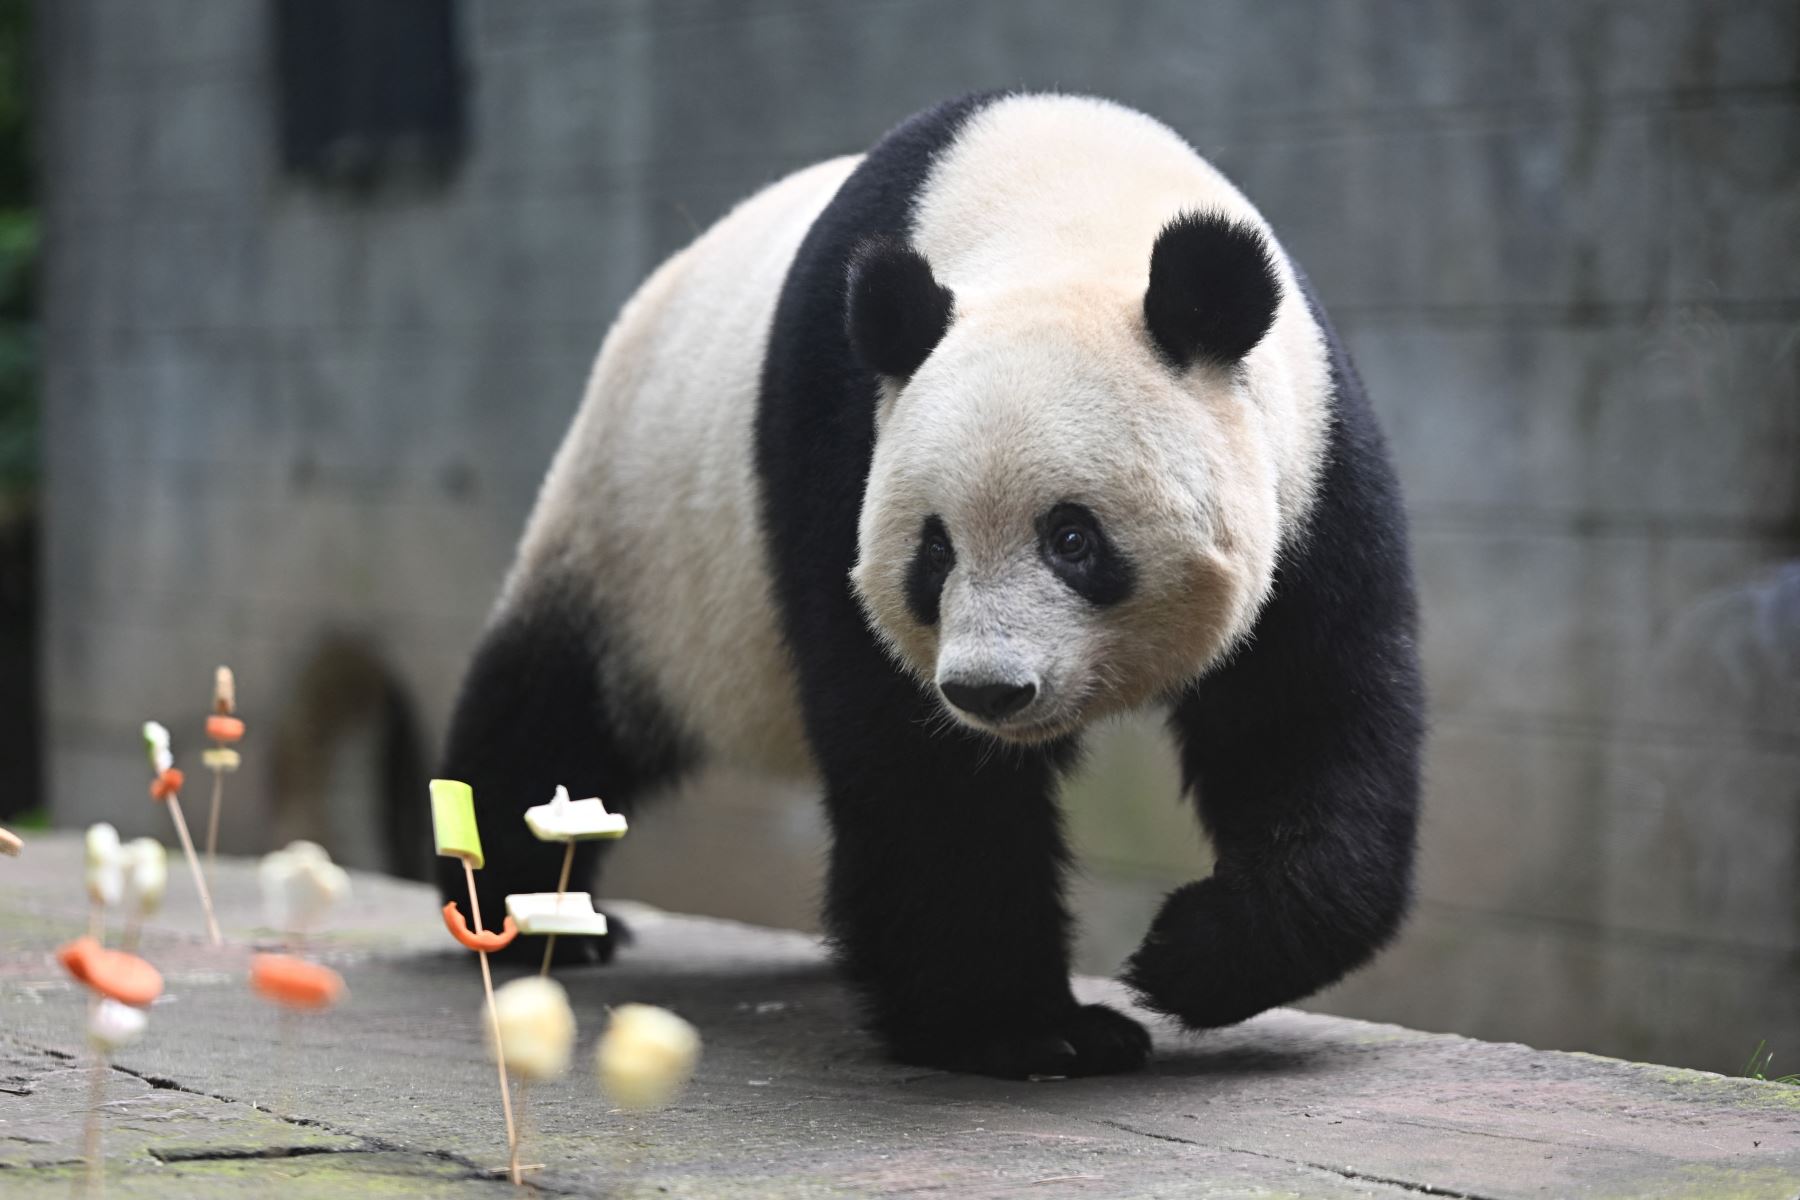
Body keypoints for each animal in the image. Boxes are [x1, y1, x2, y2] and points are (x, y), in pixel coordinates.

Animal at [435, 89, 1418, 1072]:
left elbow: (1306, 717)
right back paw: (535, 915)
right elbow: (919, 762)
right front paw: (1029, 1028)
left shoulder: (1311, 469)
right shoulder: (842, 432)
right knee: (553, 715)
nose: (990, 691)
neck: (1064, 212)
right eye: (933, 551)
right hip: (636, 543)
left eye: (1072, 537)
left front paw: (1193, 954)